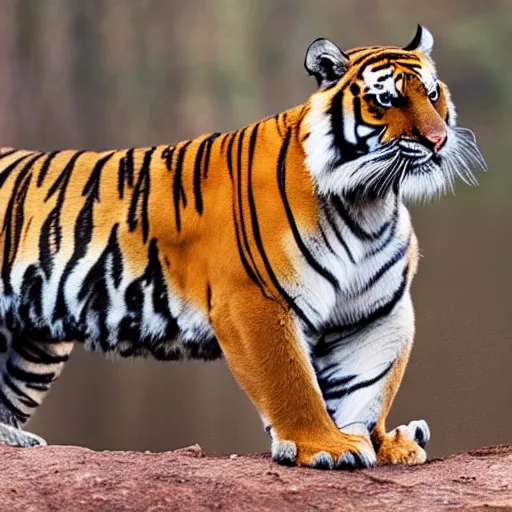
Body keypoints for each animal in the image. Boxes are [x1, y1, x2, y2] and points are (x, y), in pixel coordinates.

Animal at [0, 26, 484, 470]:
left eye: (432, 94)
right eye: (386, 100)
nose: (438, 140)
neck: (367, 203)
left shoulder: (376, 312)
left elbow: (367, 386)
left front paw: (380, 441)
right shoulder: (256, 300)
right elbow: (290, 381)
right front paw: (325, 446)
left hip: (35, 345)